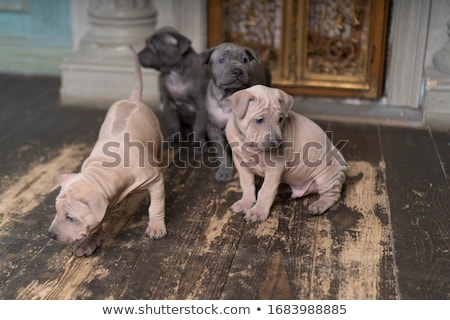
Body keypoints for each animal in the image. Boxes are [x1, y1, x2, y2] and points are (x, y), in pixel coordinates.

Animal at [48, 48, 167, 258]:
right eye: (56, 211)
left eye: (70, 218)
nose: (51, 235)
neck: (103, 171)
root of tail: (132, 99)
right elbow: (96, 224)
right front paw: (89, 243)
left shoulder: (155, 178)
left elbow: (157, 206)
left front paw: (156, 227)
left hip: (158, 144)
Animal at [200, 42, 270, 181]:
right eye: (221, 60)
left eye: (244, 60)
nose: (237, 71)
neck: (229, 96)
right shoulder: (214, 129)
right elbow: (222, 153)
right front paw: (225, 171)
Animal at [225, 85, 348, 222]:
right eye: (259, 120)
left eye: (280, 119)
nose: (277, 143)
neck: (250, 145)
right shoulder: (241, 164)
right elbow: (247, 185)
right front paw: (245, 202)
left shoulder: (275, 167)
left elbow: (266, 191)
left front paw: (257, 211)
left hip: (327, 175)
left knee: (332, 195)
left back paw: (318, 205)